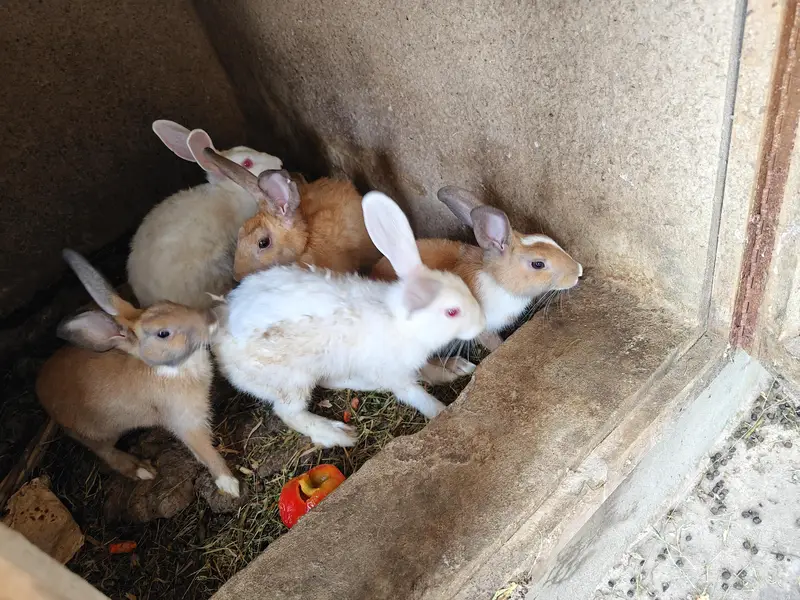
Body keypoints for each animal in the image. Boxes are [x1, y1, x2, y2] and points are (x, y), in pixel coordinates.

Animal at [37, 249, 239, 497]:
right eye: (163, 333)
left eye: (169, 303)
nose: (211, 318)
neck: (167, 368)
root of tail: (40, 392)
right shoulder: (185, 422)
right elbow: (206, 452)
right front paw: (229, 485)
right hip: (98, 435)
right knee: (107, 454)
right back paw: (141, 470)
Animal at [212, 190, 486, 448]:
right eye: (452, 312)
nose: (482, 322)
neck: (401, 324)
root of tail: (218, 342)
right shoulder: (394, 374)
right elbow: (417, 396)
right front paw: (443, 412)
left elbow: (425, 369)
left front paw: (452, 369)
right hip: (292, 380)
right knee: (288, 412)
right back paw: (338, 434)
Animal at [371, 185, 582, 384]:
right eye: (538, 264)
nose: (578, 272)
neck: (497, 280)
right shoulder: (483, 329)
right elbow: (495, 344)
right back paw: (458, 368)